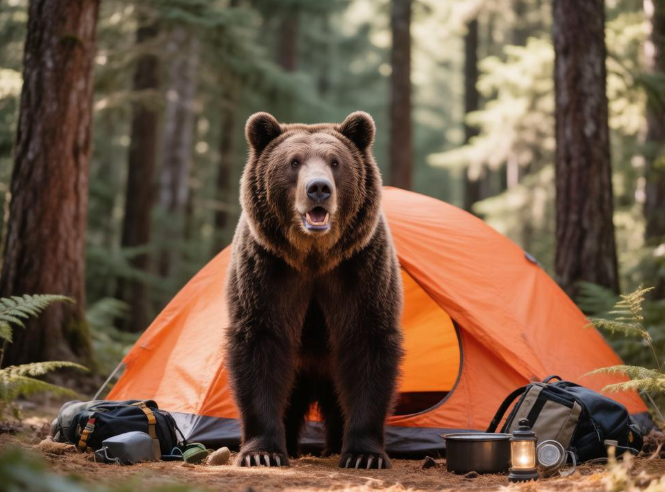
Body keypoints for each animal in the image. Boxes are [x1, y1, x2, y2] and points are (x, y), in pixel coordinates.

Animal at [224, 111, 404, 470]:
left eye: (335, 162)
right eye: (294, 161)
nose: (318, 188)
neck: (313, 256)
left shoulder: (360, 269)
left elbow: (367, 343)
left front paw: (364, 455)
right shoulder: (268, 270)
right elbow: (260, 343)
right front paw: (261, 452)